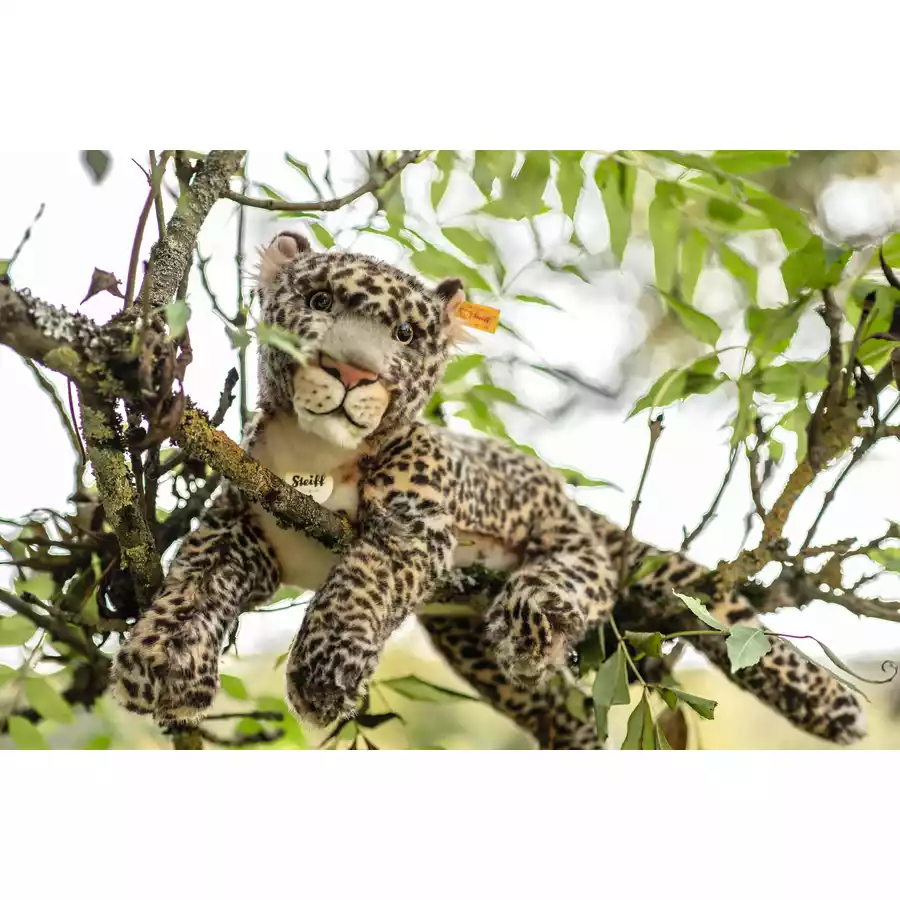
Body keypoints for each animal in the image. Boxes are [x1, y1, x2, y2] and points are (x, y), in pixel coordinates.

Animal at [110, 230, 867, 748]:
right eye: (319, 302)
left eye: (405, 334)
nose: (352, 371)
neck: (317, 455)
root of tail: (567, 494)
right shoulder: (244, 526)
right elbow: (196, 581)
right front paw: (164, 661)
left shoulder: (412, 523)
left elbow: (357, 585)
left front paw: (324, 672)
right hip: (472, 645)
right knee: (559, 712)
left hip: (559, 543)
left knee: (579, 575)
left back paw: (537, 617)